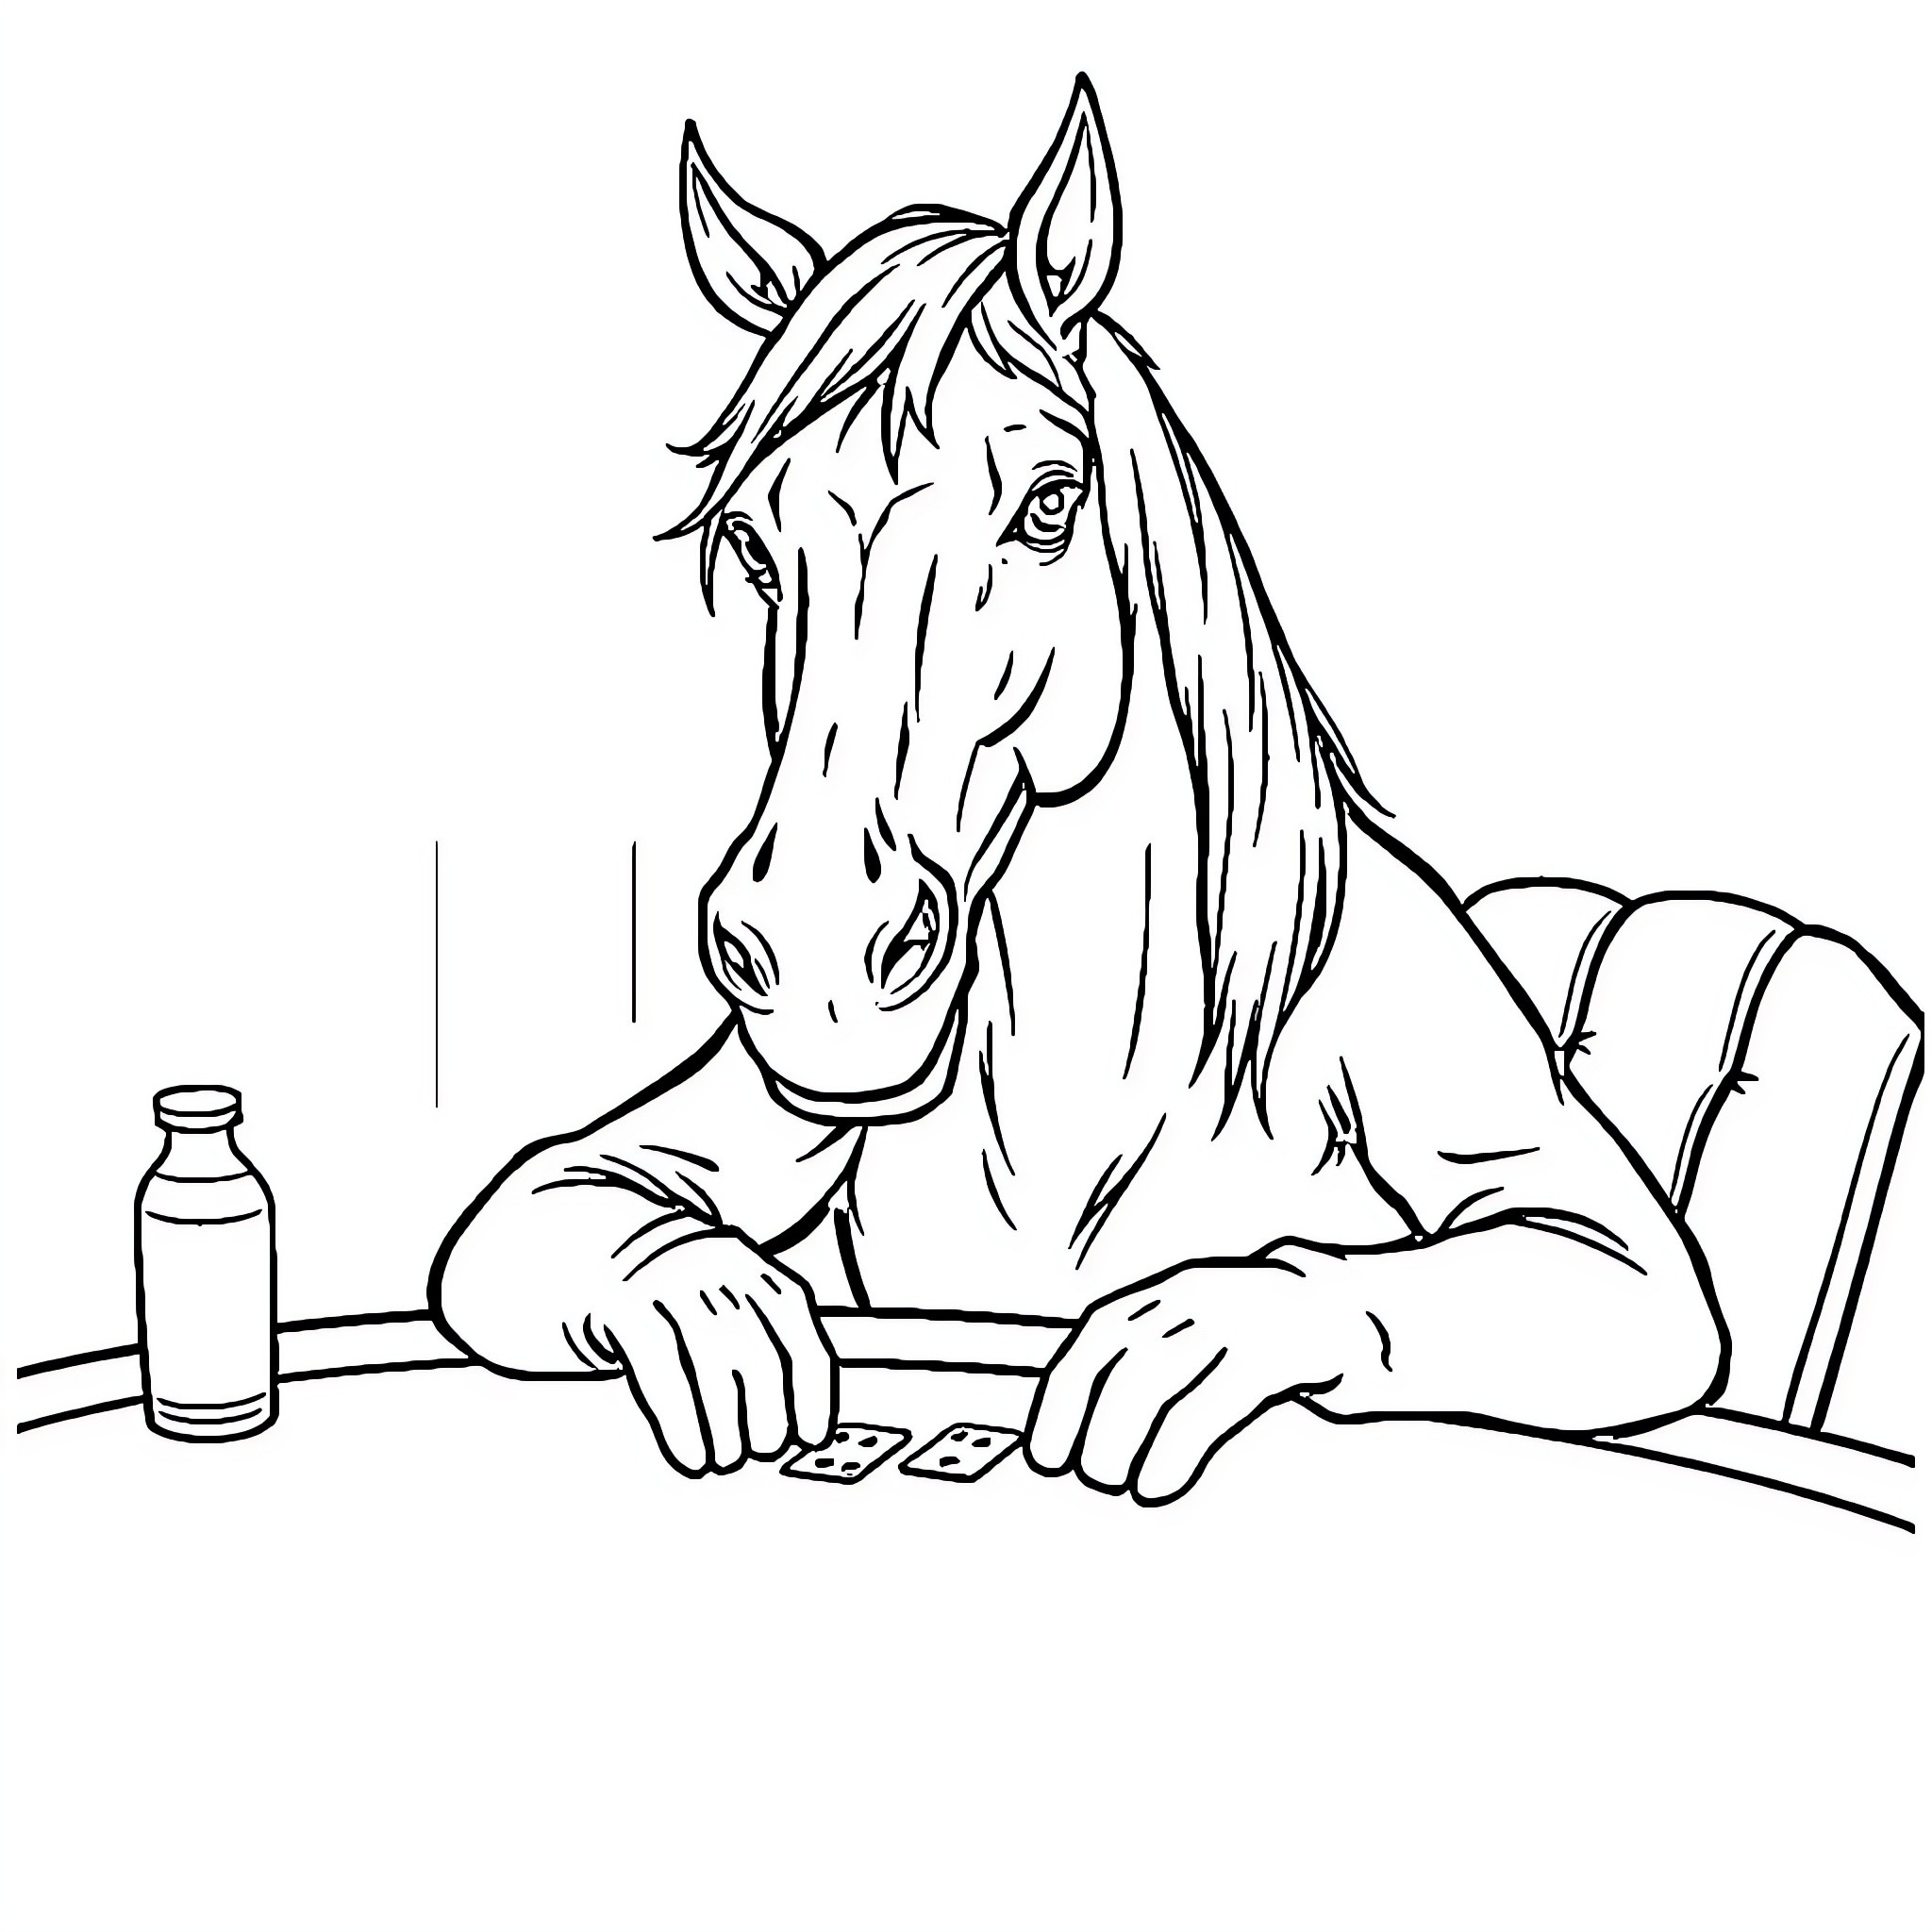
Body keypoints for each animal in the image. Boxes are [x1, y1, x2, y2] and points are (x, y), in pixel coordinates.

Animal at [430, 78, 1727, 1503]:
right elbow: (578, 1187)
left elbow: (1587, 1241)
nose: (820, 964)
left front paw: (1187, 1337)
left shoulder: (1445, 1031)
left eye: (1049, 504)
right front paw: (708, 1304)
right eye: (758, 549)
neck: (1091, 1001)